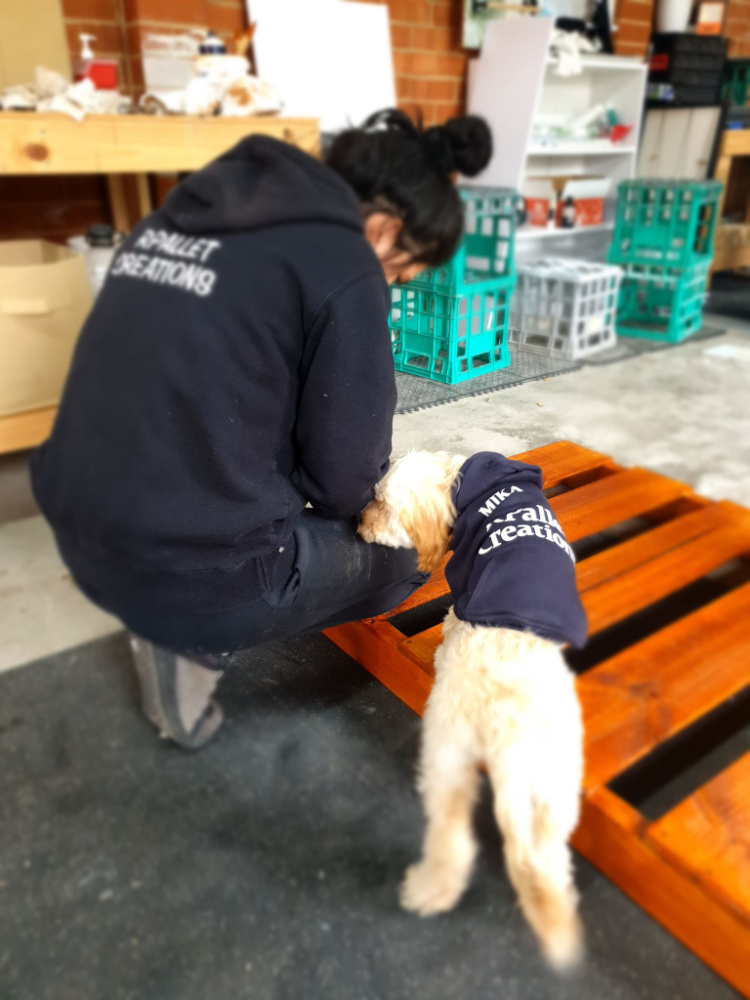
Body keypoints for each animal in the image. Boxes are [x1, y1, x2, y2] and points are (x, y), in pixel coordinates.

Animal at [360, 454, 588, 968]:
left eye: (380, 503)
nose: (357, 523)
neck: (460, 480)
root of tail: (509, 741)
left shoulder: (463, 580)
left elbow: (455, 610)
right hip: (557, 786)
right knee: (547, 857)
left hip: (448, 751)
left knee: (453, 840)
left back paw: (428, 891)